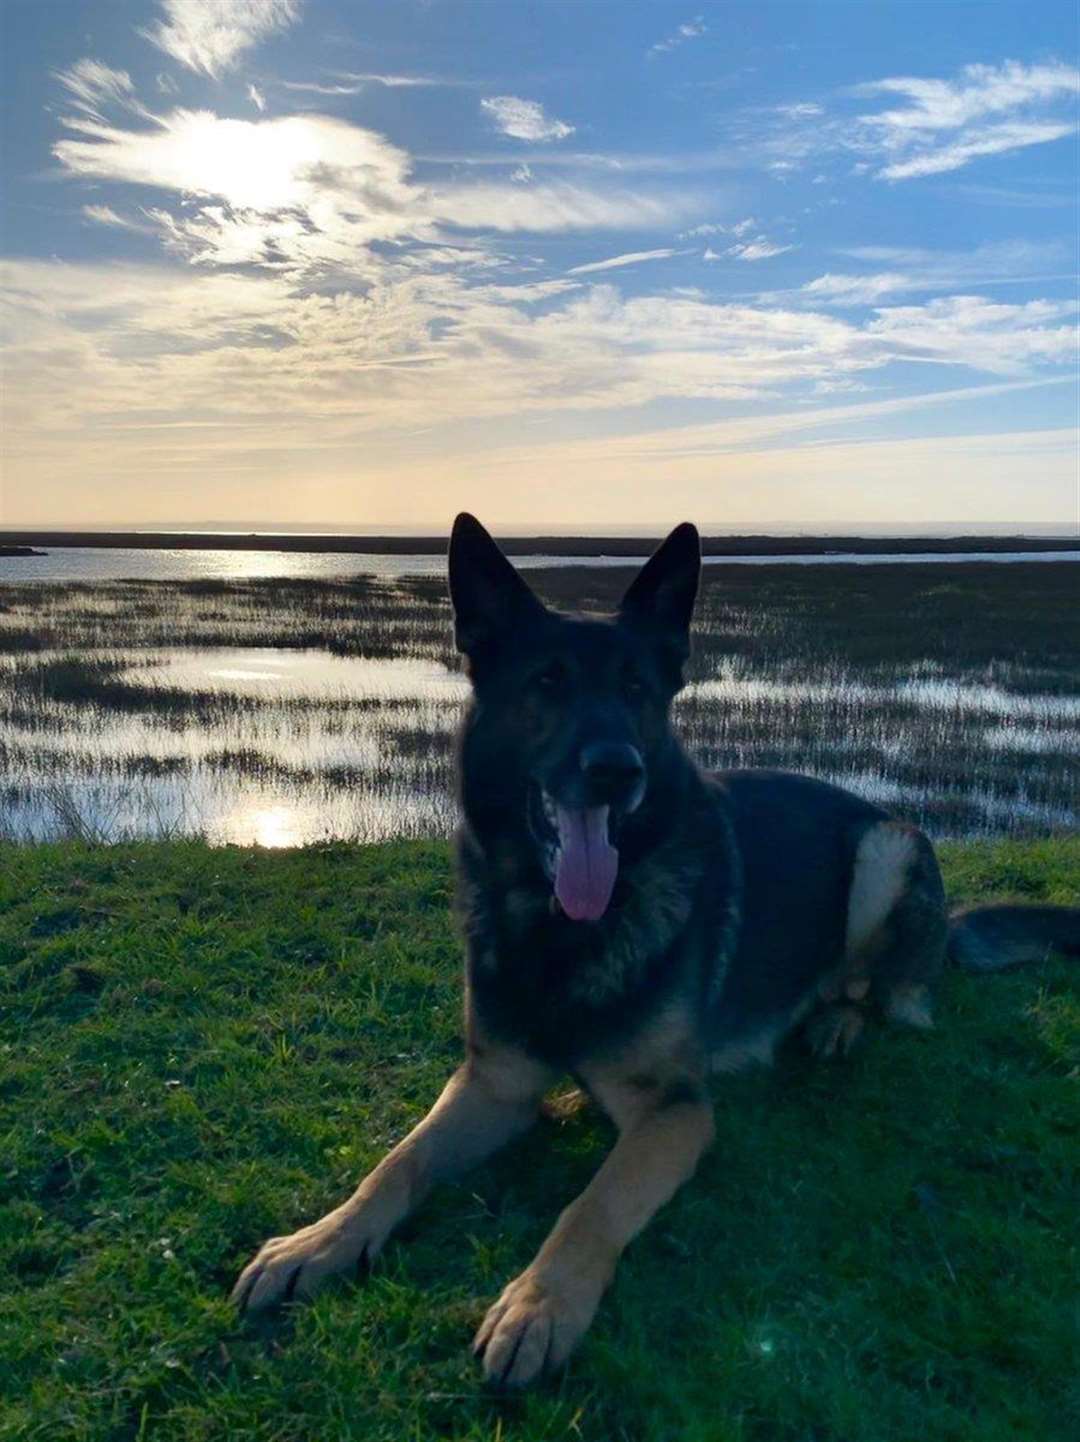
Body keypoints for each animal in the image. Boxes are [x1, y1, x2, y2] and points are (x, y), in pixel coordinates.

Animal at [232, 516, 1072, 1384]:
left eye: (636, 689)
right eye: (548, 682)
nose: (615, 770)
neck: (564, 930)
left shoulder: (676, 1115)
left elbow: (592, 1204)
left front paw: (539, 1305)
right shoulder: (493, 1084)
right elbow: (397, 1162)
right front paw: (322, 1239)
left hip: (887, 849)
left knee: (889, 994)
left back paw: (835, 1022)